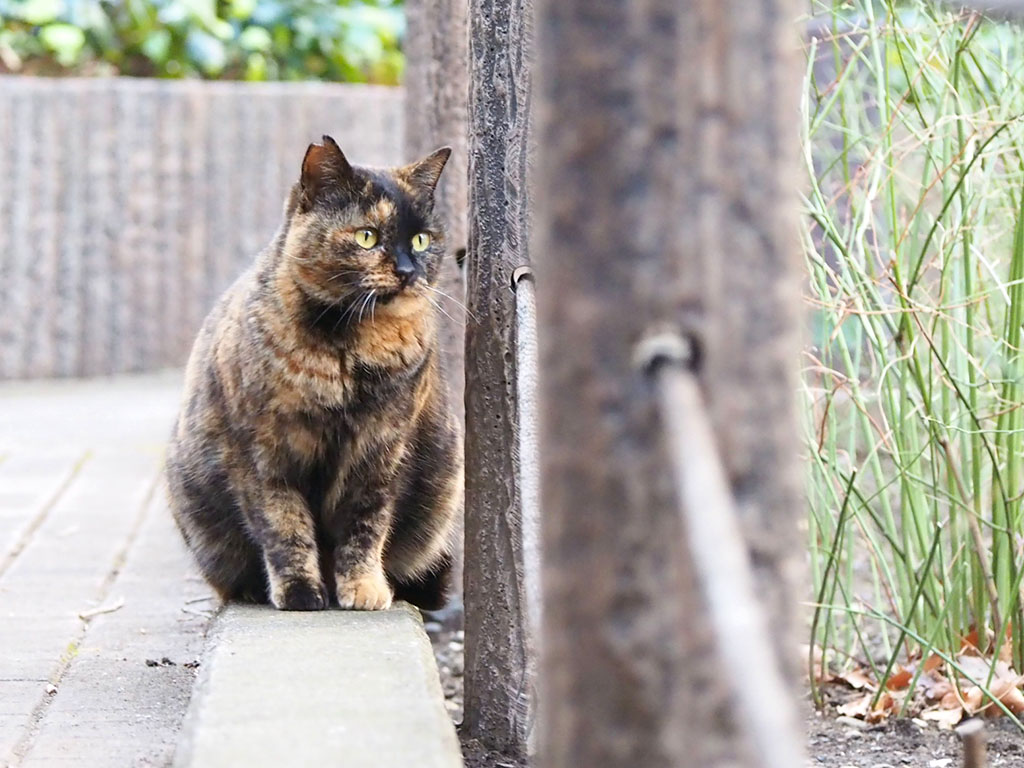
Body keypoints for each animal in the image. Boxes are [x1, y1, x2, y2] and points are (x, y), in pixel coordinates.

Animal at [165, 135, 462, 610]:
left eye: (420, 240)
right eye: (366, 236)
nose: (407, 270)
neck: (346, 356)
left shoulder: (381, 451)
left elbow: (366, 524)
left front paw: (363, 588)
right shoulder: (263, 456)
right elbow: (284, 527)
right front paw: (301, 593)